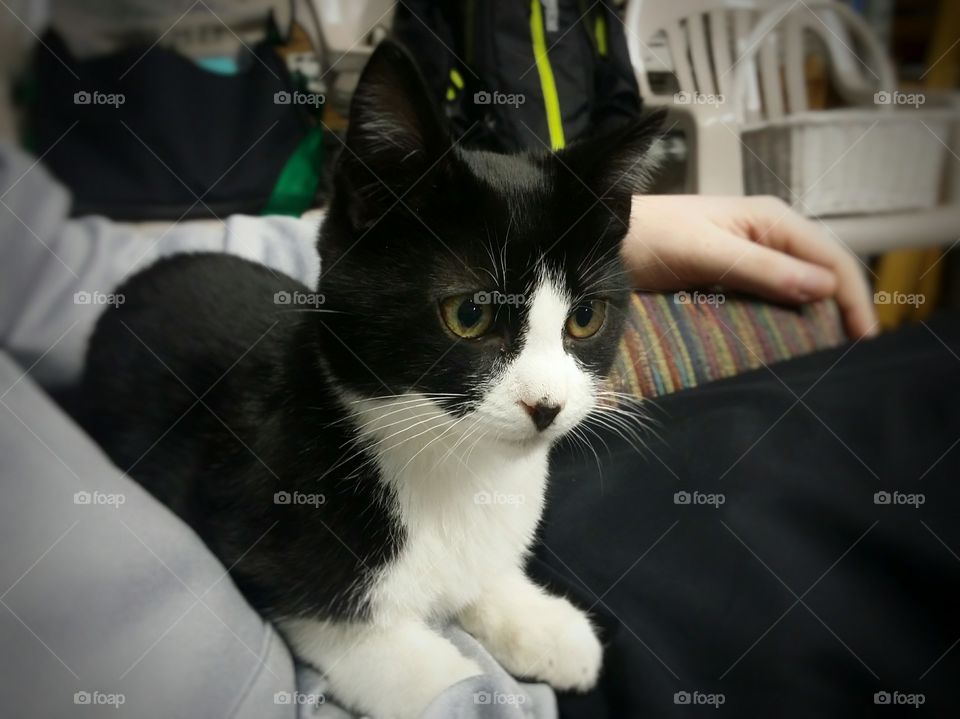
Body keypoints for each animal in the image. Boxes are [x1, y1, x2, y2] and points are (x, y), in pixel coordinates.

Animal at [80, 42, 660, 719]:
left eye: (585, 317)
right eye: (469, 314)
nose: (546, 405)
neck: (449, 464)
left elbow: (479, 576)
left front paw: (541, 625)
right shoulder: (250, 522)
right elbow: (382, 650)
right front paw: (454, 682)